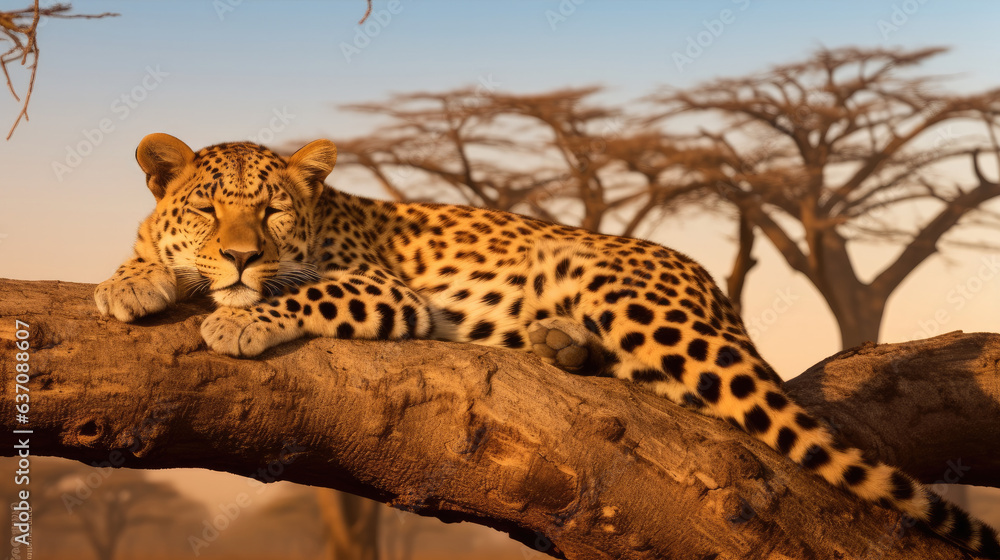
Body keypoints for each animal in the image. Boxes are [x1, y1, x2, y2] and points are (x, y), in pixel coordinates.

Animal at [96, 133, 999, 557]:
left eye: (273, 210)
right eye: (209, 208)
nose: (242, 254)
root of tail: (708, 281)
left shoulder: (387, 290)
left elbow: (305, 289)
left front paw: (238, 313)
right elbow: (146, 254)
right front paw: (130, 280)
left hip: (610, 282)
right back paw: (559, 344)